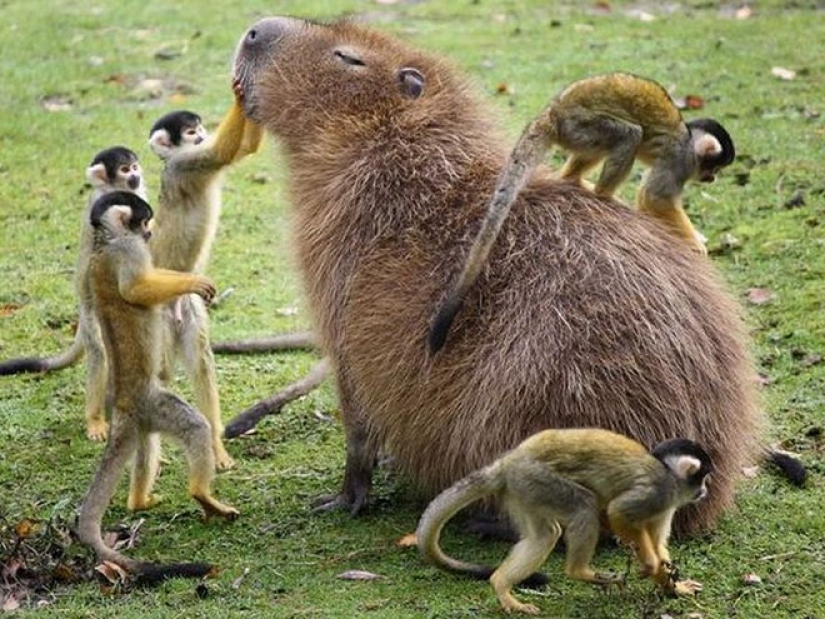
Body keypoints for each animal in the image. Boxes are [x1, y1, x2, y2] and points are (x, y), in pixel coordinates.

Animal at [0, 147, 146, 440]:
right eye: (125, 169)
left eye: (134, 167)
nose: (135, 175)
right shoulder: (97, 206)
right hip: (89, 314)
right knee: (99, 350)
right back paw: (96, 418)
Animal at [79, 193, 238, 580]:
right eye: (145, 221)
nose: (150, 232)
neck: (105, 240)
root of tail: (122, 403)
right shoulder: (129, 248)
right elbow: (136, 288)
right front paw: (192, 282)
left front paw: (186, 276)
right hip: (156, 404)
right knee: (195, 426)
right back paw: (202, 495)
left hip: (142, 418)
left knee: (146, 446)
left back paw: (140, 501)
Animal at [416, 428, 712, 616]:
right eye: (704, 477)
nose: (705, 491)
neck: (668, 474)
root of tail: (507, 462)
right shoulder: (659, 491)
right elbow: (618, 511)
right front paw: (650, 565)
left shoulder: (667, 504)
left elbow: (659, 545)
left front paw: (674, 586)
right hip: (536, 478)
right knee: (584, 507)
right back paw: (579, 571)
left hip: (523, 489)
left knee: (545, 534)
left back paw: (501, 583)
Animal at [424, 72, 732, 354]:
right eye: (714, 167)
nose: (712, 179)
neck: (687, 139)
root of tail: (554, 112)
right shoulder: (679, 160)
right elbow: (655, 196)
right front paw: (693, 243)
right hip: (580, 126)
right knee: (629, 135)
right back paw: (604, 194)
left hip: (575, 133)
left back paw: (573, 179)